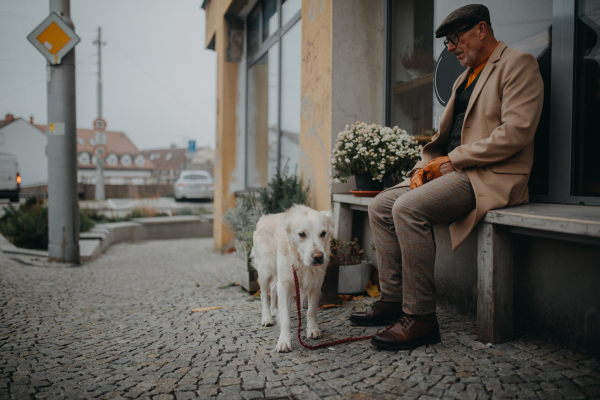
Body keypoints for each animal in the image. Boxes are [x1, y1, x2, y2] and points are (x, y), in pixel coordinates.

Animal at [248, 205, 332, 352]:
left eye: (323, 233)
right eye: (302, 234)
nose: (318, 257)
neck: (300, 261)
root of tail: (263, 219)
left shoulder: (316, 283)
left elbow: (311, 310)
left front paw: (313, 329)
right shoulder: (285, 284)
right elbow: (285, 318)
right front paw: (284, 341)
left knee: (273, 287)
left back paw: (274, 311)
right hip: (265, 270)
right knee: (264, 294)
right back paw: (267, 317)